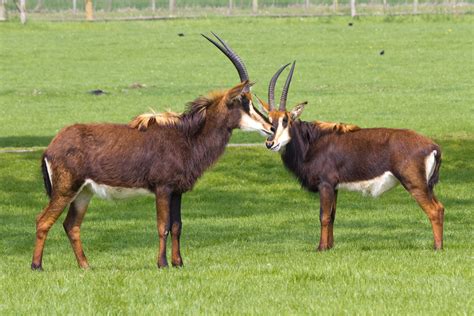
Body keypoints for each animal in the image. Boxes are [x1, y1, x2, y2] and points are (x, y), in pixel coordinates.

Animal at [31, 34, 272, 272]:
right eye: (243, 102)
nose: (270, 127)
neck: (187, 137)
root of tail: (52, 146)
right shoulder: (162, 188)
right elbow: (163, 226)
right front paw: (162, 263)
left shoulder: (177, 191)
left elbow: (177, 226)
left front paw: (178, 263)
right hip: (65, 190)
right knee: (43, 220)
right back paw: (37, 266)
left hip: (83, 193)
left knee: (71, 225)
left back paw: (86, 266)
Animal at [260, 61, 444, 249]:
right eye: (269, 120)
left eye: (285, 120)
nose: (270, 143)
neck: (311, 143)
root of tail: (433, 146)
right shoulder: (334, 187)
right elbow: (332, 216)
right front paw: (330, 247)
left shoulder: (325, 184)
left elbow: (323, 217)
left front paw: (321, 248)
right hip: (427, 186)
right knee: (441, 207)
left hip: (415, 184)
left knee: (434, 210)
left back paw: (437, 247)